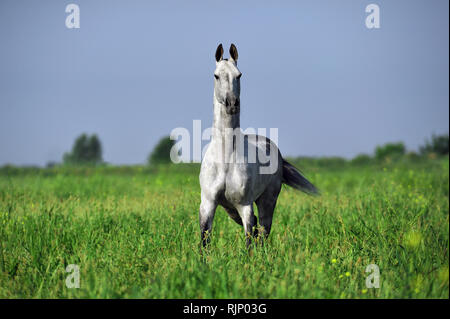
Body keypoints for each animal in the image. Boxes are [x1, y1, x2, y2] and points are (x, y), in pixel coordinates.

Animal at [199, 43, 318, 248]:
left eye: (239, 75)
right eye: (216, 75)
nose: (232, 104)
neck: (225, 160)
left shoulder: (244, 205)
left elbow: (249, 240)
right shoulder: (207, 204)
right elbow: (205, 240)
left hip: (267, 201)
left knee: (262, 230)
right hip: (230, 209)